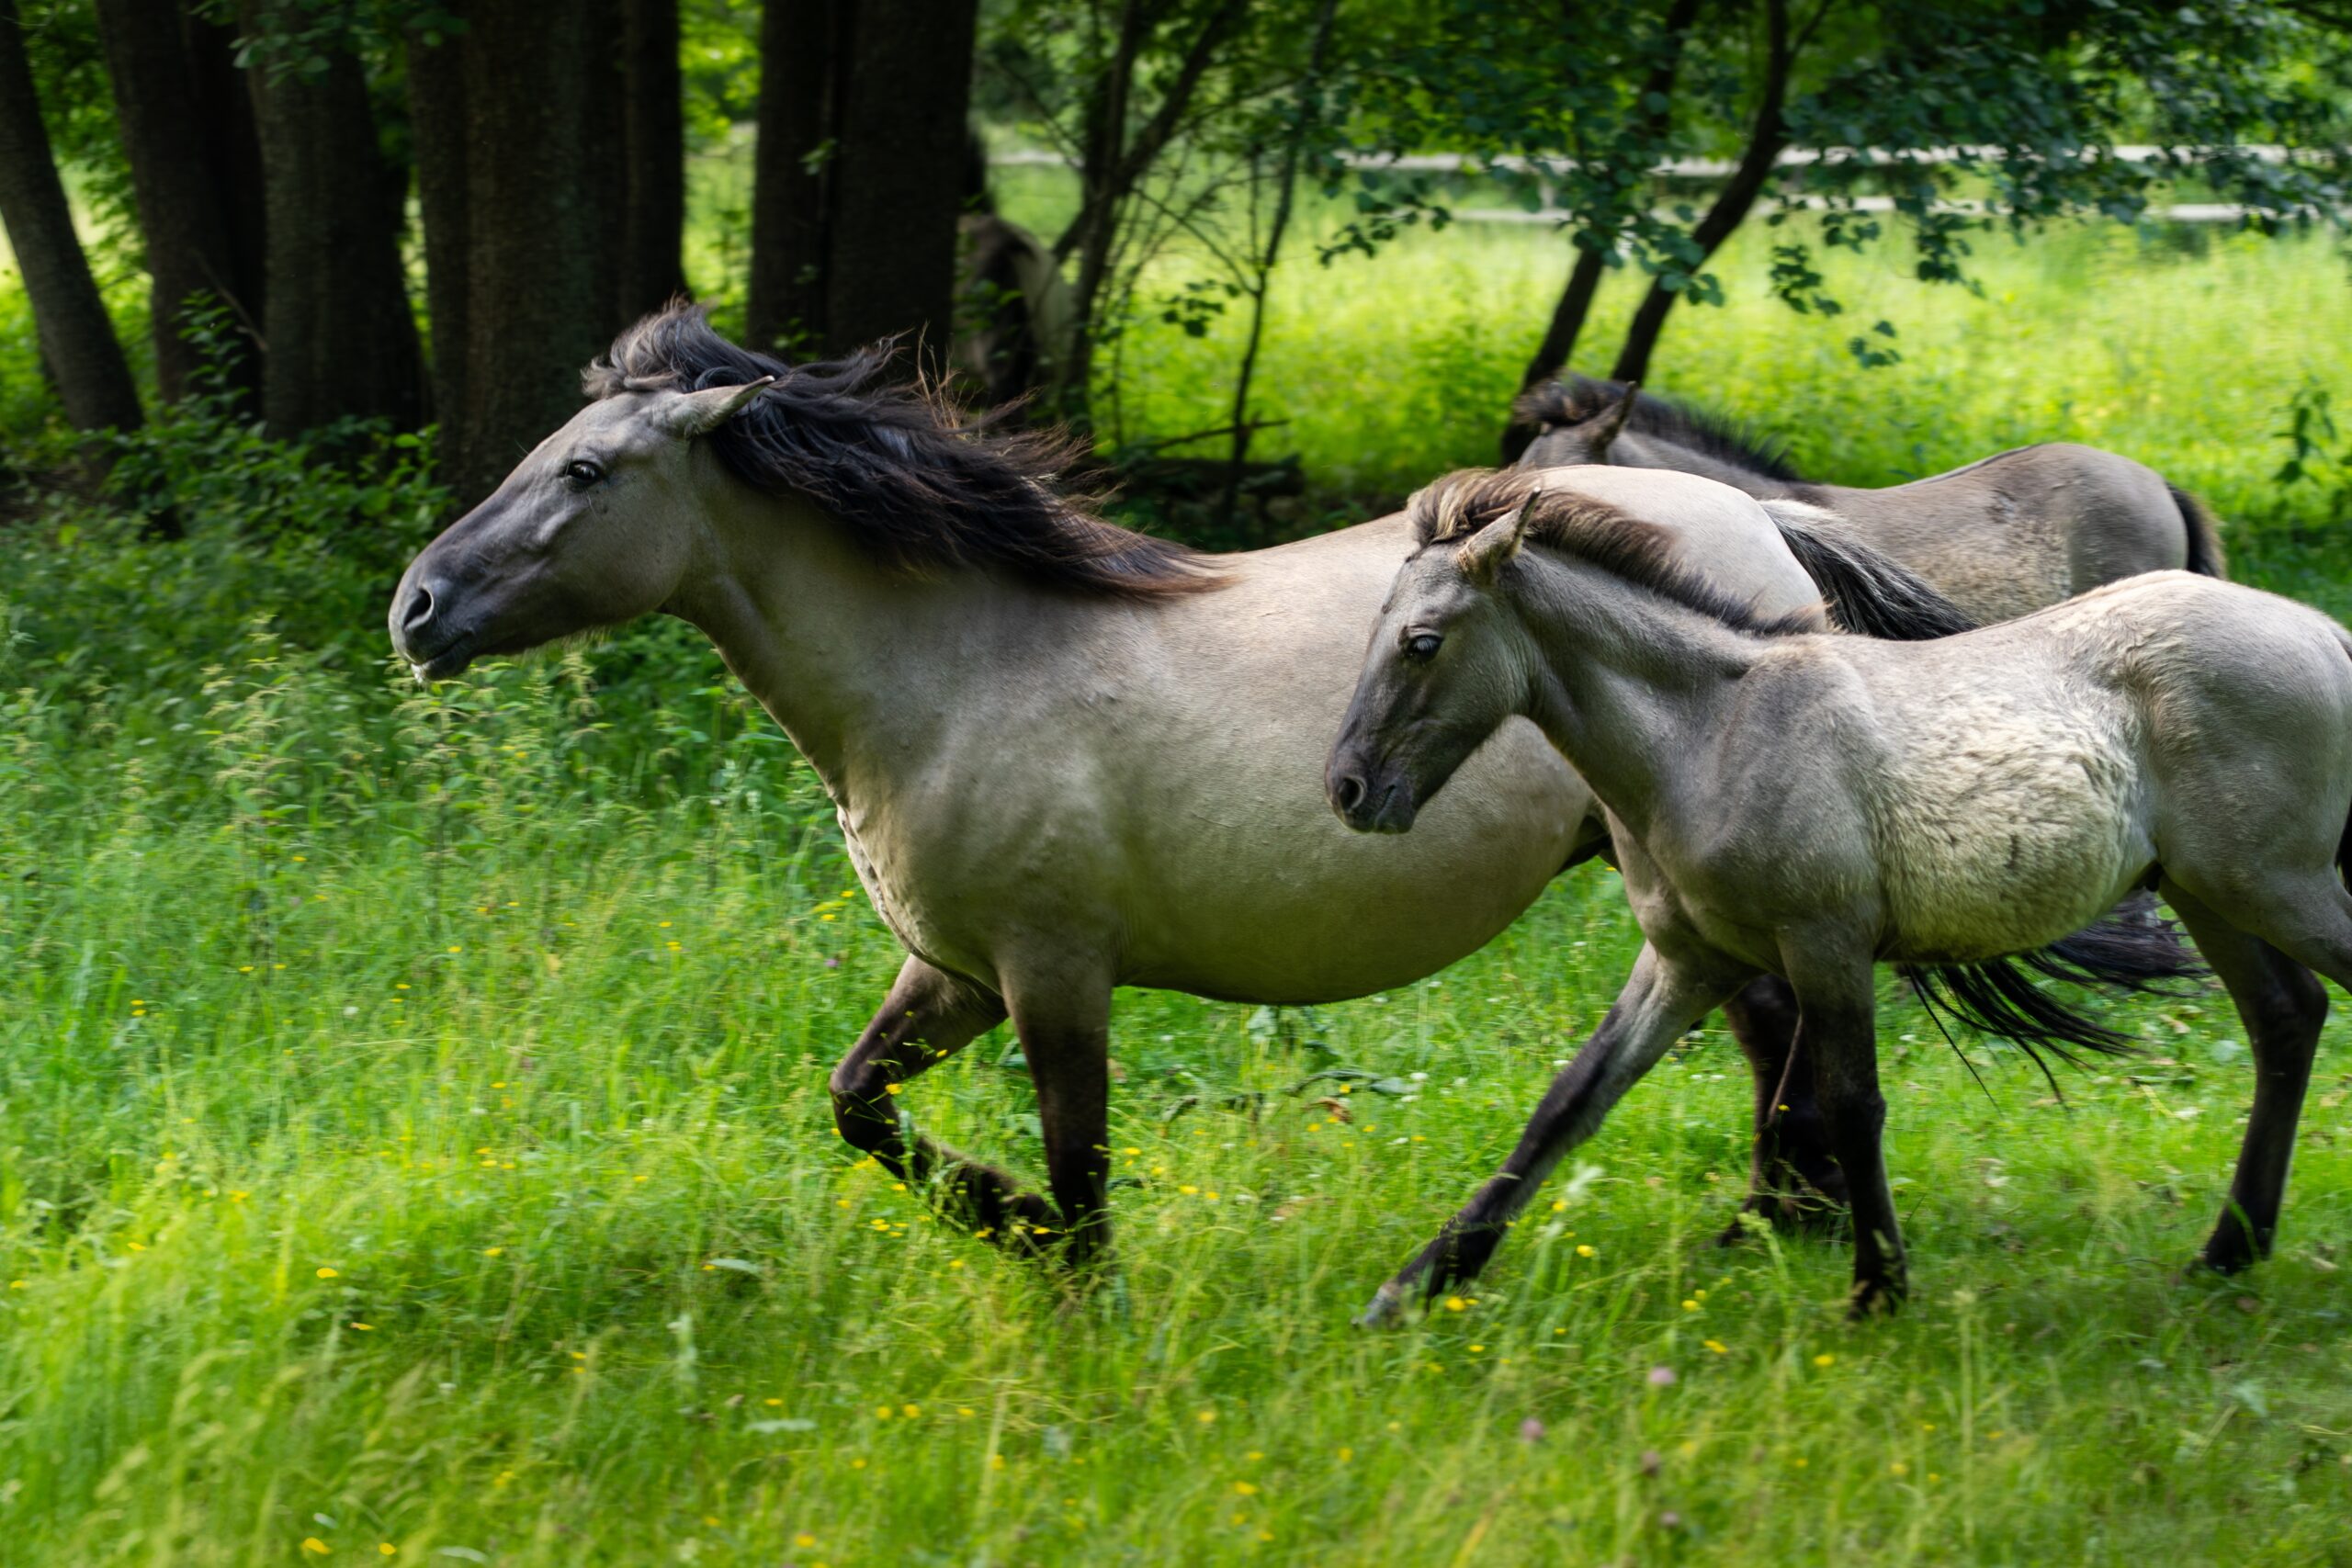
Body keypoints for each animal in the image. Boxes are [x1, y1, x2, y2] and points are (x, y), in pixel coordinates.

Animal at [387, 304, 2142, 1275]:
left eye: (586, 470)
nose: (414, 606)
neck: (953, 672)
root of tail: (1762, 522)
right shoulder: (949, 973)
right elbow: (856, 1106)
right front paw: (1003, 1219)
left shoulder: (1051, 974)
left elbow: (1083, 1170)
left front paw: (1065, 1279)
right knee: (1770, 1035)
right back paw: (1772, 1226)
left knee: (1778, 1033)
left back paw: (1781, 1227)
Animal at [1328, 468, 2352, 1319]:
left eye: (1420, 642)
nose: (1347, 788)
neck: (1713, 732)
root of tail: (2326, 635)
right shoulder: (1688, 961)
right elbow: (1568, 1103)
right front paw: (1415, 1286)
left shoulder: (1824, 942)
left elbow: (1852, 1104)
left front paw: (1876, 1287)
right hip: (2212, 893)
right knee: (2285, 1016)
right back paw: (2226, 1252)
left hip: (2278, 887)